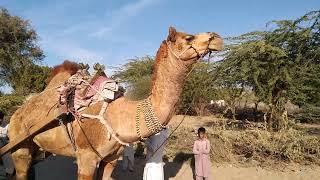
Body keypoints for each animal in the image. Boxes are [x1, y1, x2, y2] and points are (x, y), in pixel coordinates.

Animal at [7, 26, 222, 179]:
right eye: (188, 38)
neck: (119, 115)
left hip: (38, 148)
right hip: (20, 146)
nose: (217, 37)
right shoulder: (86, 158)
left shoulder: (110, 160)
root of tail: (16, 114)